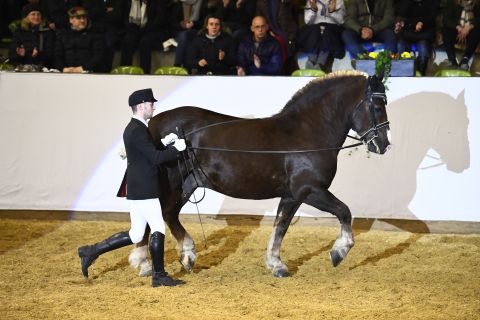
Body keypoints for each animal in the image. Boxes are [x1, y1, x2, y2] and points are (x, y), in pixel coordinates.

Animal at [131, 70, 390, 278]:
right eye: (378, 106)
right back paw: (146, 263)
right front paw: (339, 251)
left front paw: (276, 264)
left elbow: (281, 226)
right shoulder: (310, 190)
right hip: (170, 184)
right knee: (156, 214)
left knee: (168, 213)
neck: (306, 132)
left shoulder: (291, 196)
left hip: (187, 184)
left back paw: (185, 256)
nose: (384, 144)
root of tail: (152, 124)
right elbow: (344, 211)